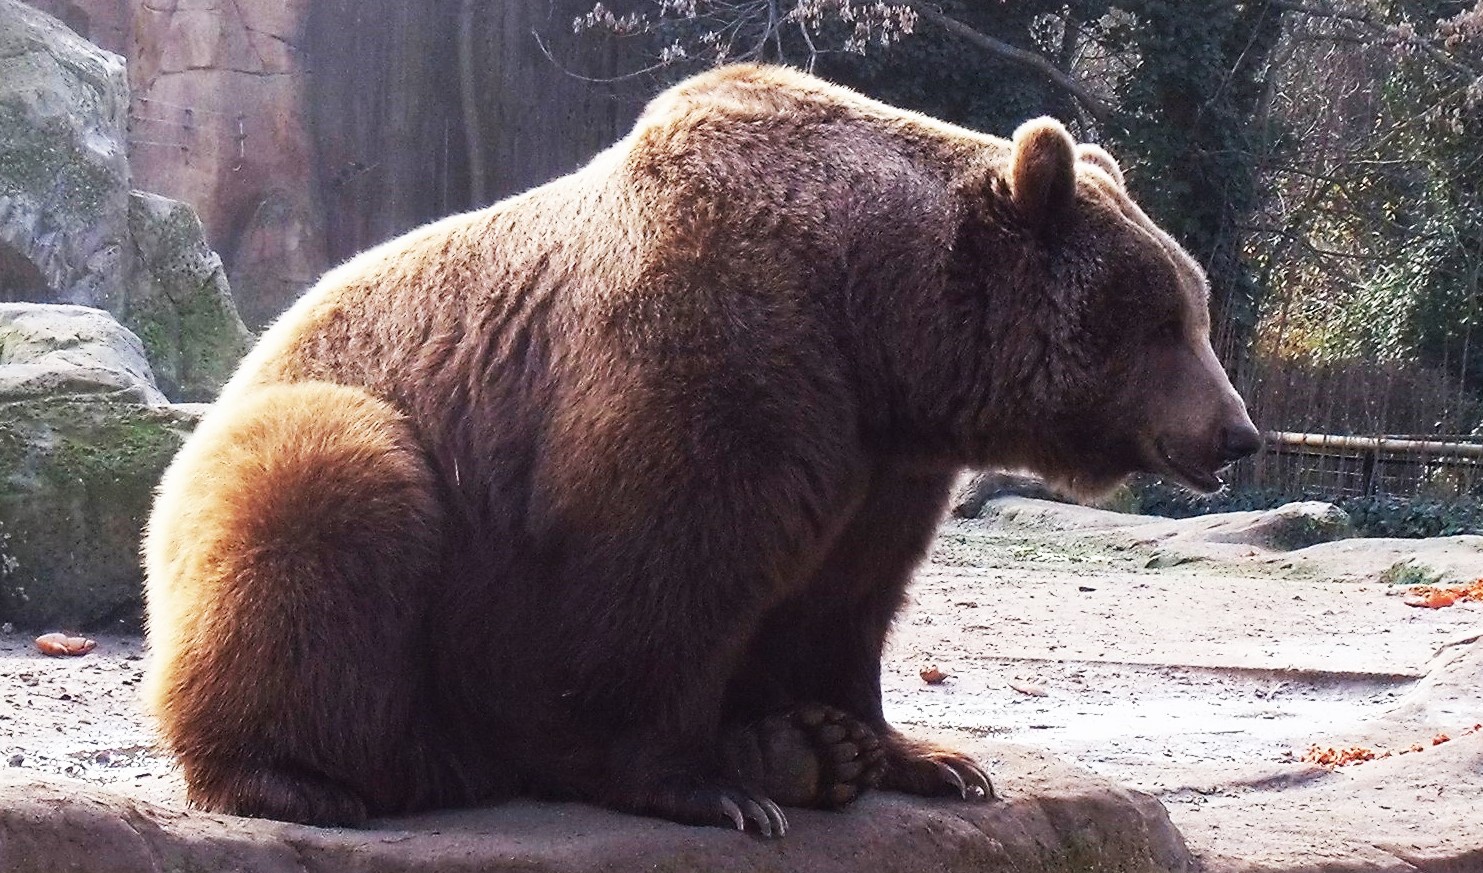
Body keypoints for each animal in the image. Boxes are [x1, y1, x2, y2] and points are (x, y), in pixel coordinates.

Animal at [143, 63, 1261, 834]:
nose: (1235, 431)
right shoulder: (711, 366)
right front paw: (709, 789)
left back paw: (801, 752)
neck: (877, 325)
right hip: (331, 465)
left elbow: (844, 603)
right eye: (1165, 321)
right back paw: (299, 778)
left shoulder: (880, 460)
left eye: (1195, 309)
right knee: (324, 499)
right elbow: (658, 582)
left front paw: (919, 755)